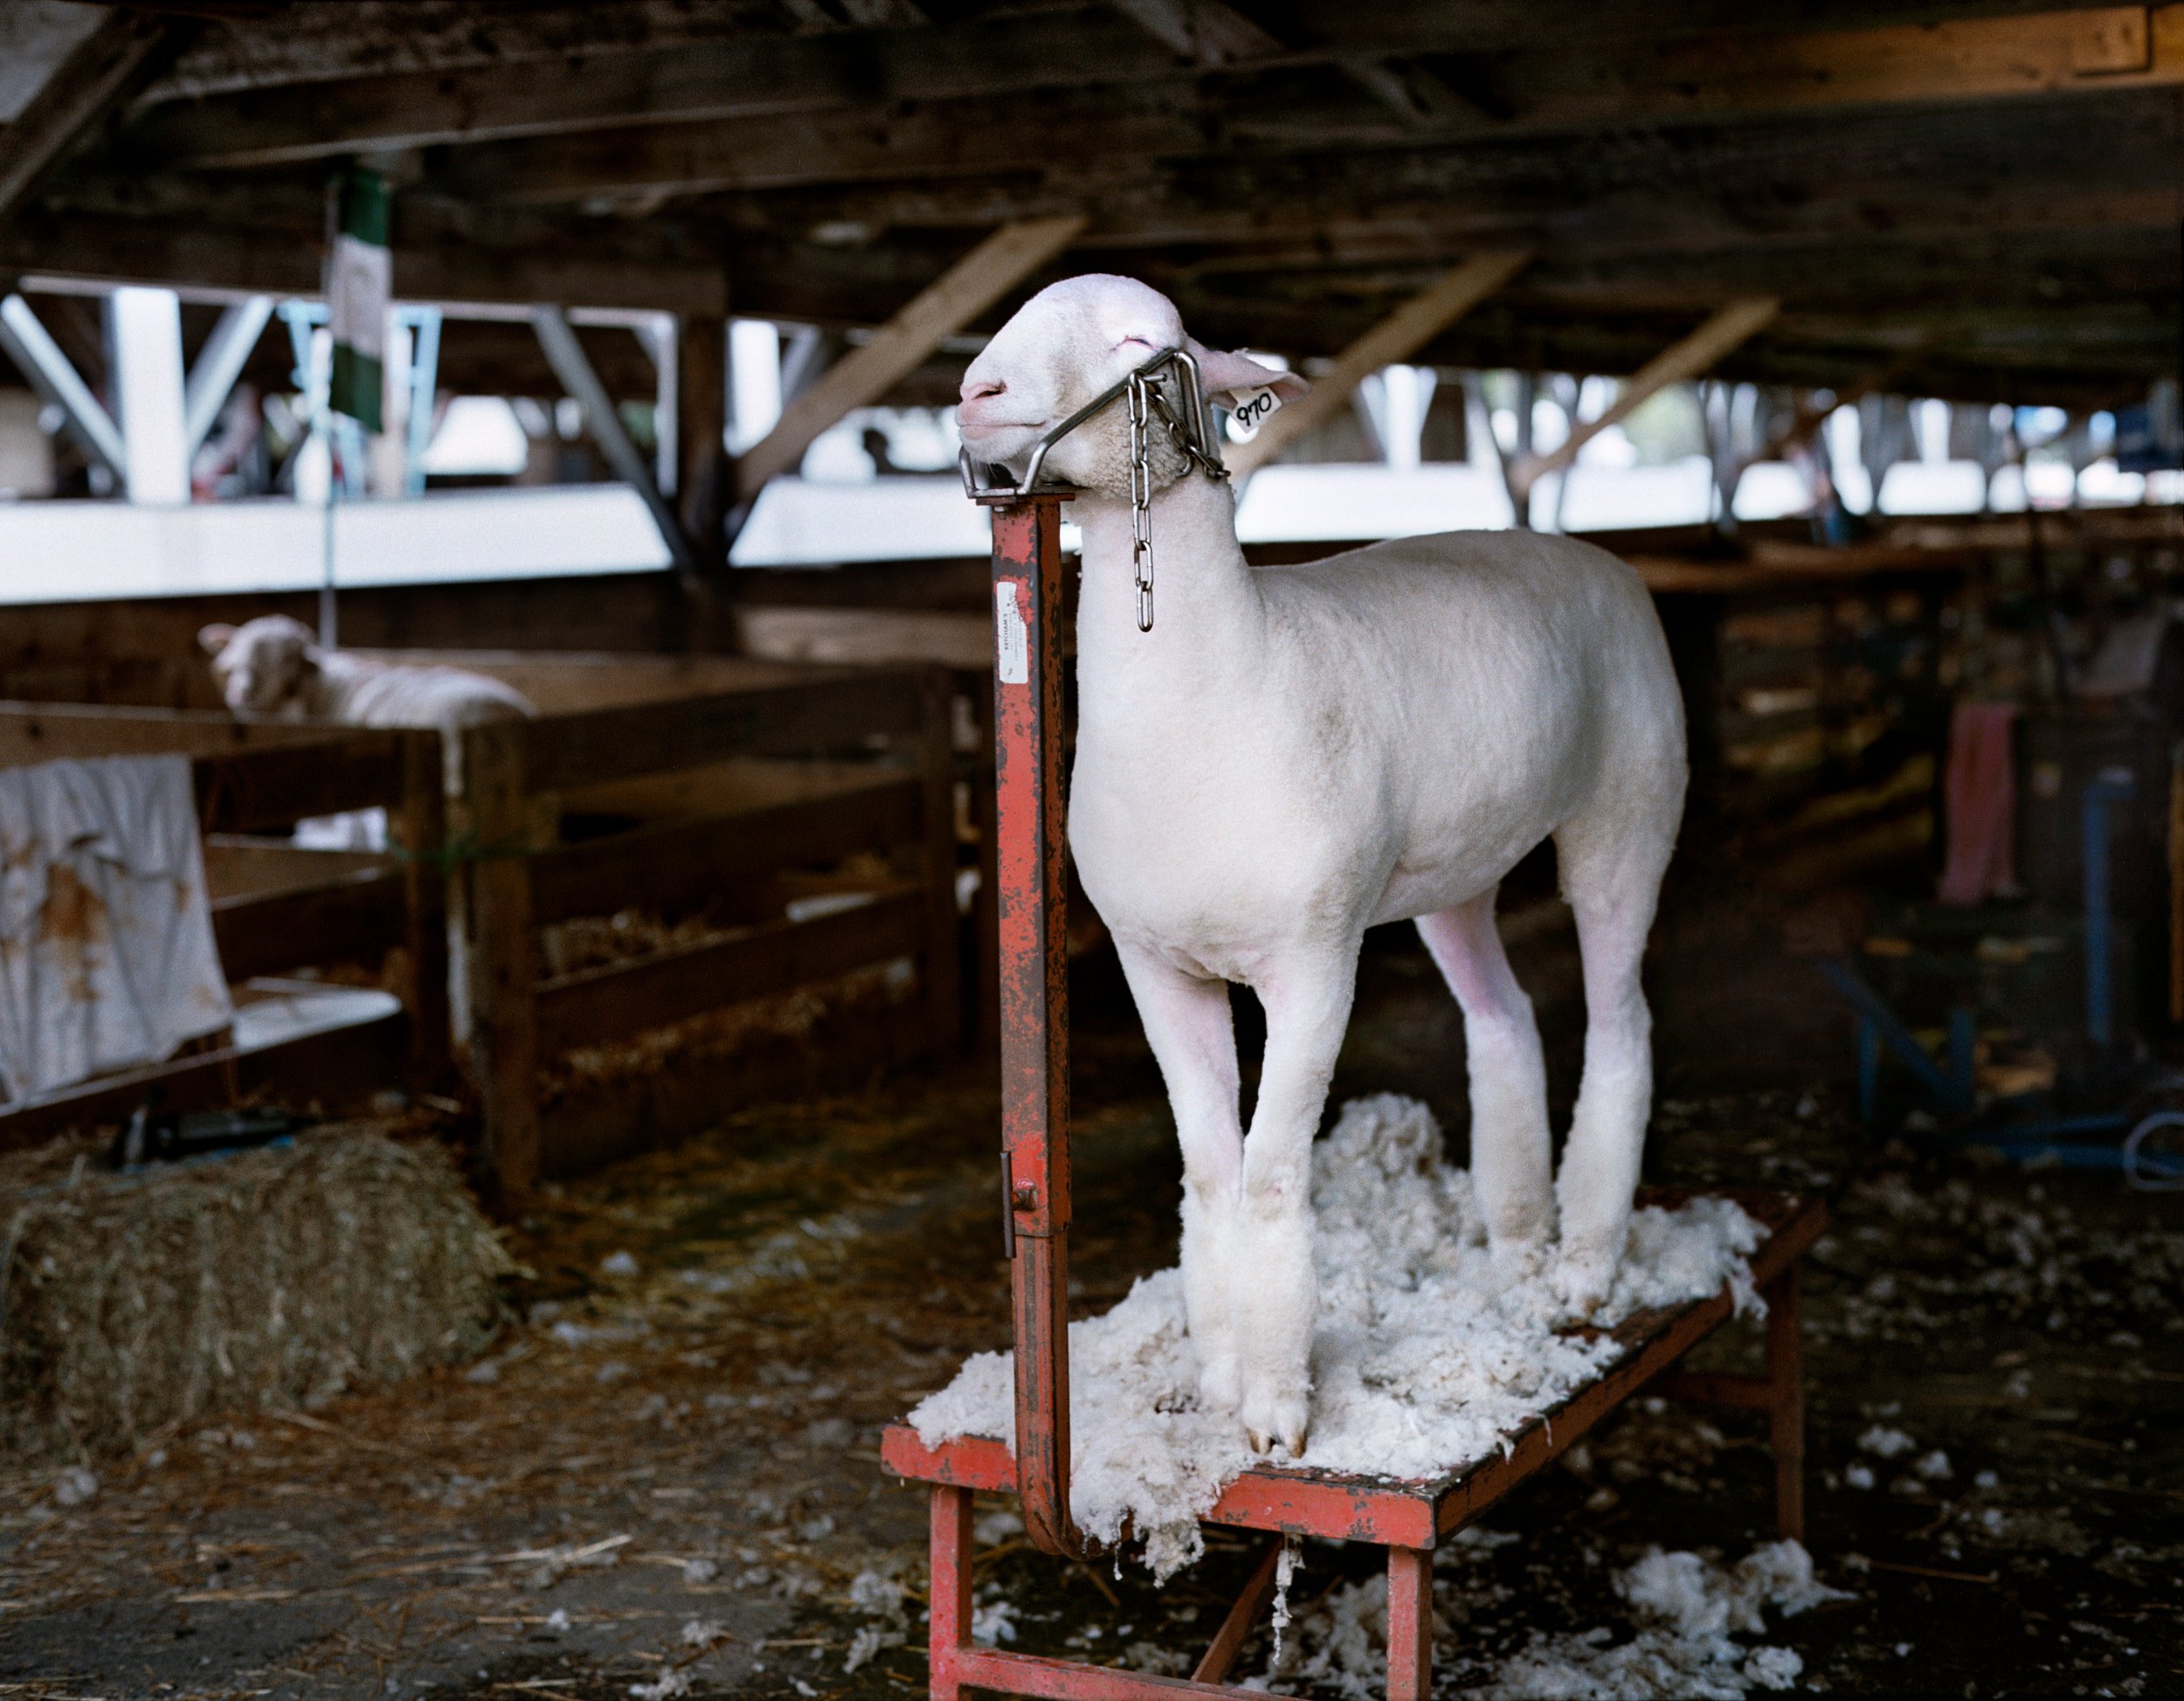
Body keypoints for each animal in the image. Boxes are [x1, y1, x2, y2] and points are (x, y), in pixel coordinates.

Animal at [957, 273, 1686, 1458]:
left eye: (1136, 339)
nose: (978, 393)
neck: (1236, 676)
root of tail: (1596, 553)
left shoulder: (1315, 958)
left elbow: (1267, 1179)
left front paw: (1274, 1409)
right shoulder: (1154, 960)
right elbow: (1209, 1171)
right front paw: (1216, 1377)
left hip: (1628, 812)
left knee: (1621, 1022)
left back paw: (1583, 1260)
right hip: (1455, 872)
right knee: (1502, 1020)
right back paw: (1517, 1239)